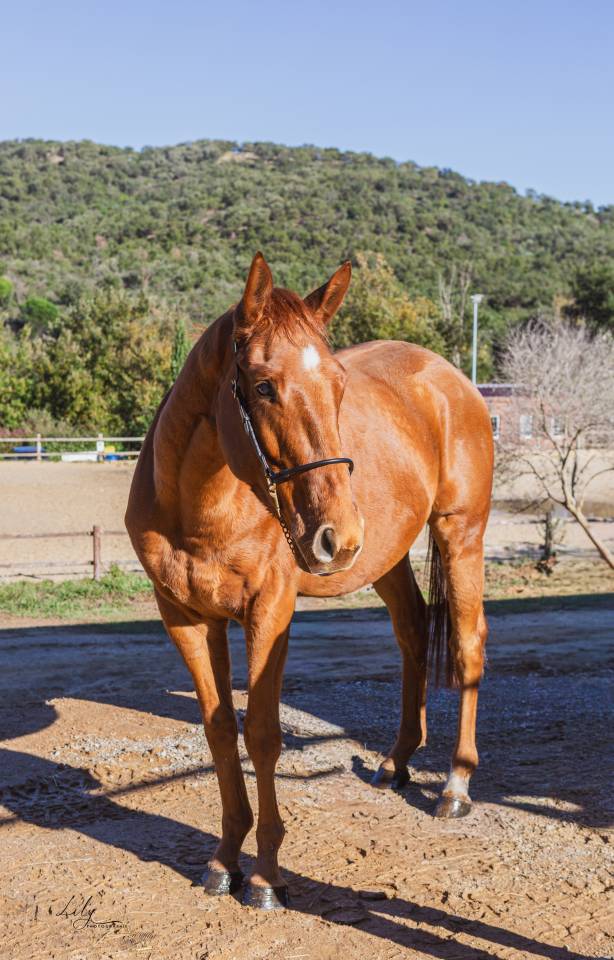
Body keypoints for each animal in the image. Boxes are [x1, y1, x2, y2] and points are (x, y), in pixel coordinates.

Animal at [125, 252, 494, 909]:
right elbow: (220, 731)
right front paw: (225, 858)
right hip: (385, 558)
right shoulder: (186, 619)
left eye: (340, 387)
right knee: (412, 630)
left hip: (461, 533)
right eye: (263, 386)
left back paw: (455, 784)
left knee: (469, 643)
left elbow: (263, 734)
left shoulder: (270, 613)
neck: (199, 511)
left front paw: (266, 874)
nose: (335, 535)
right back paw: (398, 760)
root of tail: (451, 378)